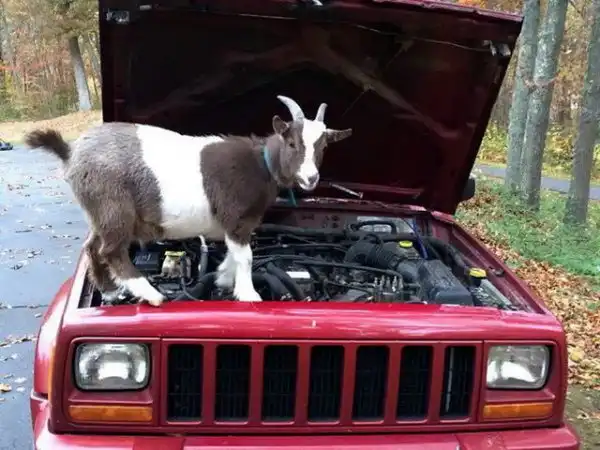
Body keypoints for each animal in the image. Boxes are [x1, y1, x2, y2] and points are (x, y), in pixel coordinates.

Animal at [24, 95, 352, 306]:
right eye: (293, 143)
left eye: (323, 146)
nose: (311, 178)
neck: (261, 163)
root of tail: (70, 153)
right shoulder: (236, 219)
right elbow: (246, 256)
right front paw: (248, 294)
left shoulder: (236, 225)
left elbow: (235, 254)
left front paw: (222, 279)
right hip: (113, 207)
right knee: (112, 250)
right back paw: (152, 295)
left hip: (99, 212)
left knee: (93, 247)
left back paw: (110, 292)